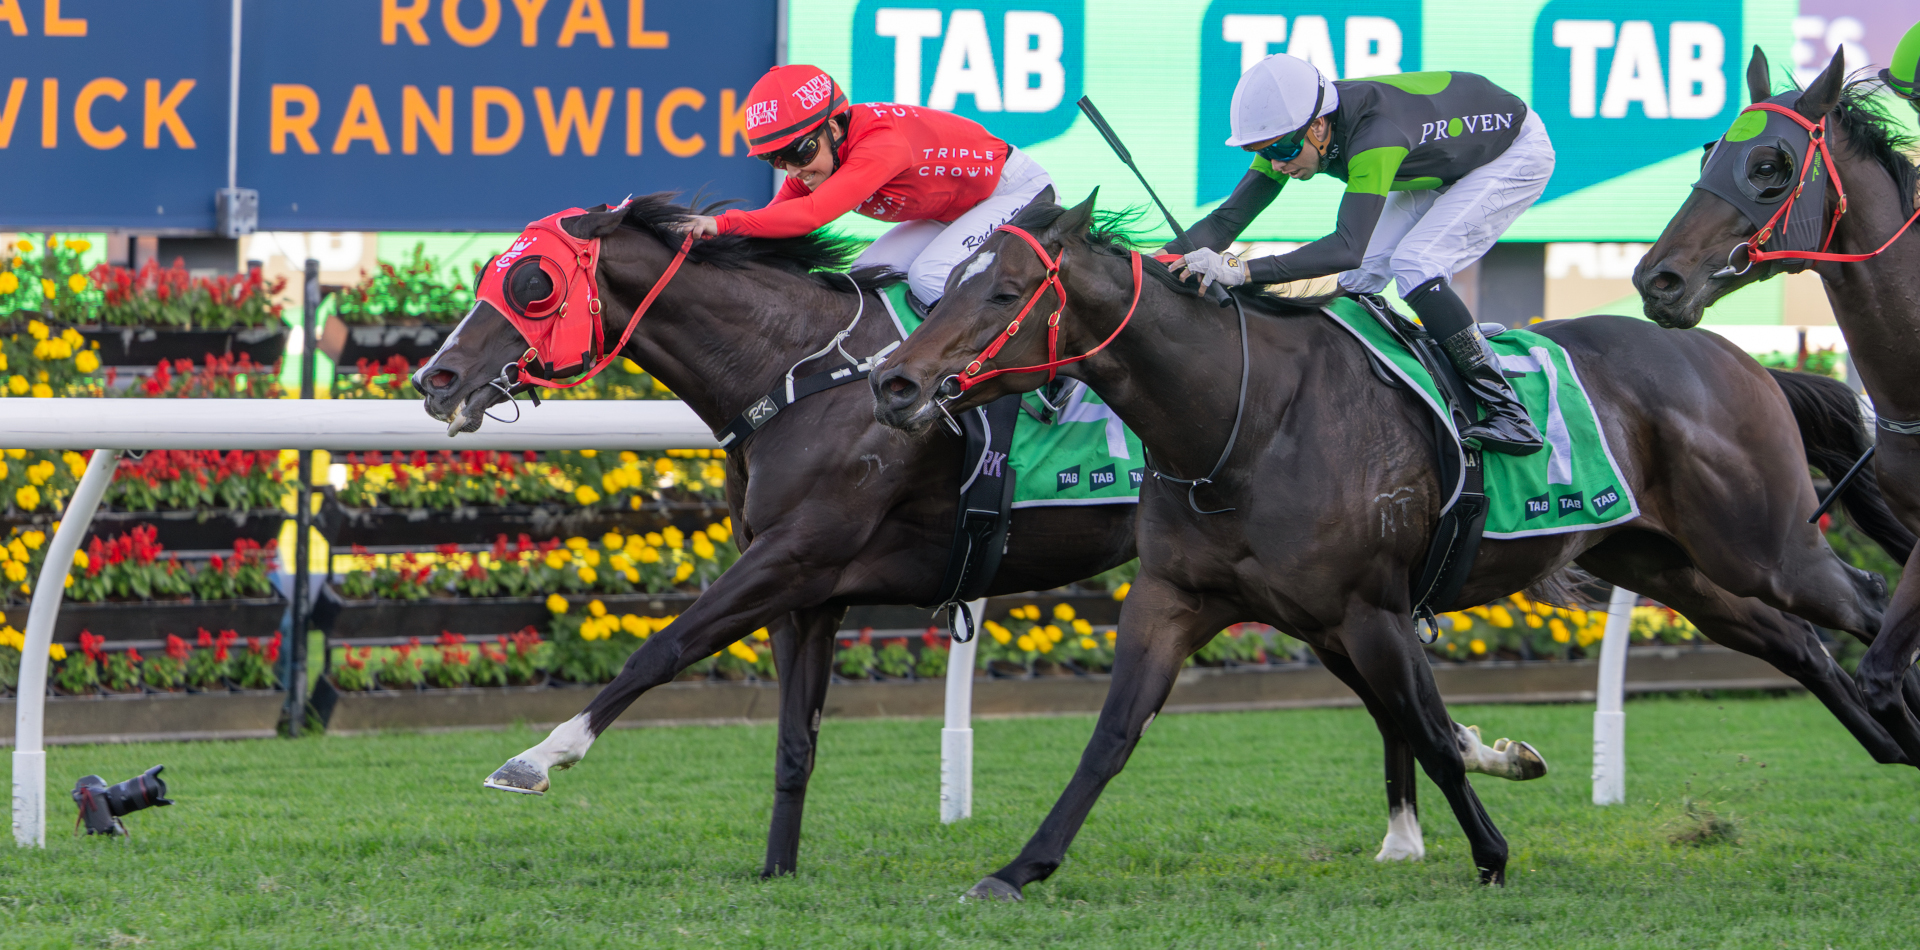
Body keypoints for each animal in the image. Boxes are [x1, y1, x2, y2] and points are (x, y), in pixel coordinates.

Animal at [409, 194, 1546, 878]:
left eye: (529, 283)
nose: (434, 375)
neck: (804, 374)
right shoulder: (813, 589)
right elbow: (792, 741)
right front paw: (777, 869)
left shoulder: (794, 554)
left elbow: (663, 645)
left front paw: (536, 757)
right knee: (1391, 690)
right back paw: (1460, 782)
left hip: (1314, 581)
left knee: (1390, 685)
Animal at [869, 191, 1917, 897]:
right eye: (951, 282)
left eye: (1003, 291)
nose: (895, 383)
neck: (1242, 422)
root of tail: (1740, 358)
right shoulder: (1175, 600)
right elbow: (1112, 737)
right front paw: (1019, 867)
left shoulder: (1368, 607)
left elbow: (1429, 732)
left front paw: (1491, 850)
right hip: (1673, 564)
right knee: (1798, 643)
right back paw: (1895, 747)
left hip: (1762, 543)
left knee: (1865, 603)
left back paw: (1898, 715)